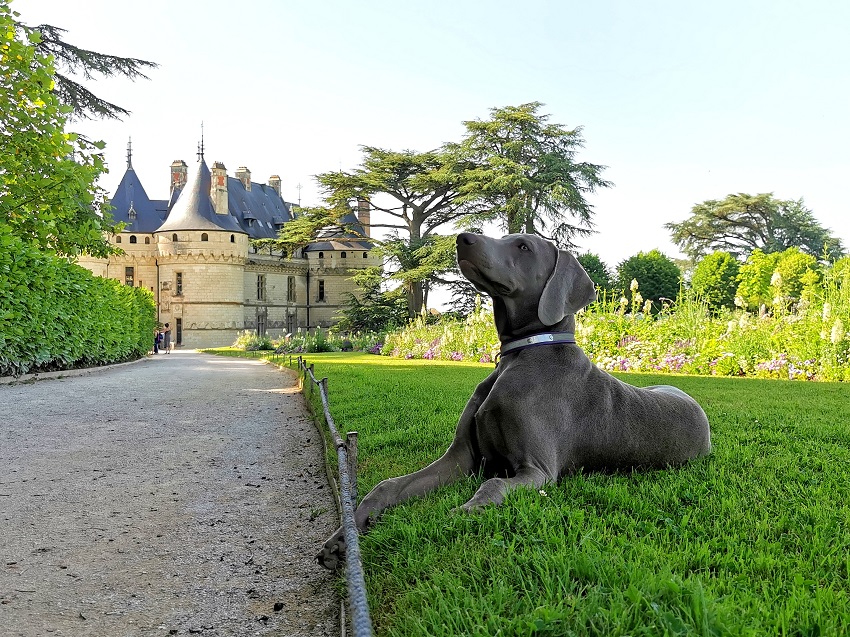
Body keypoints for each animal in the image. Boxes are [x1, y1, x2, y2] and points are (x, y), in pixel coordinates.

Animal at [318, 232, 708, 568]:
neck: (523, 353)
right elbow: (388, 485)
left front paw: (462, 512)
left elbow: (492, 484)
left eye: (523, 247)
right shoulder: (461, 458)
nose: (462, 238)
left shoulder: (538, 471)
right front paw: (344, 535)